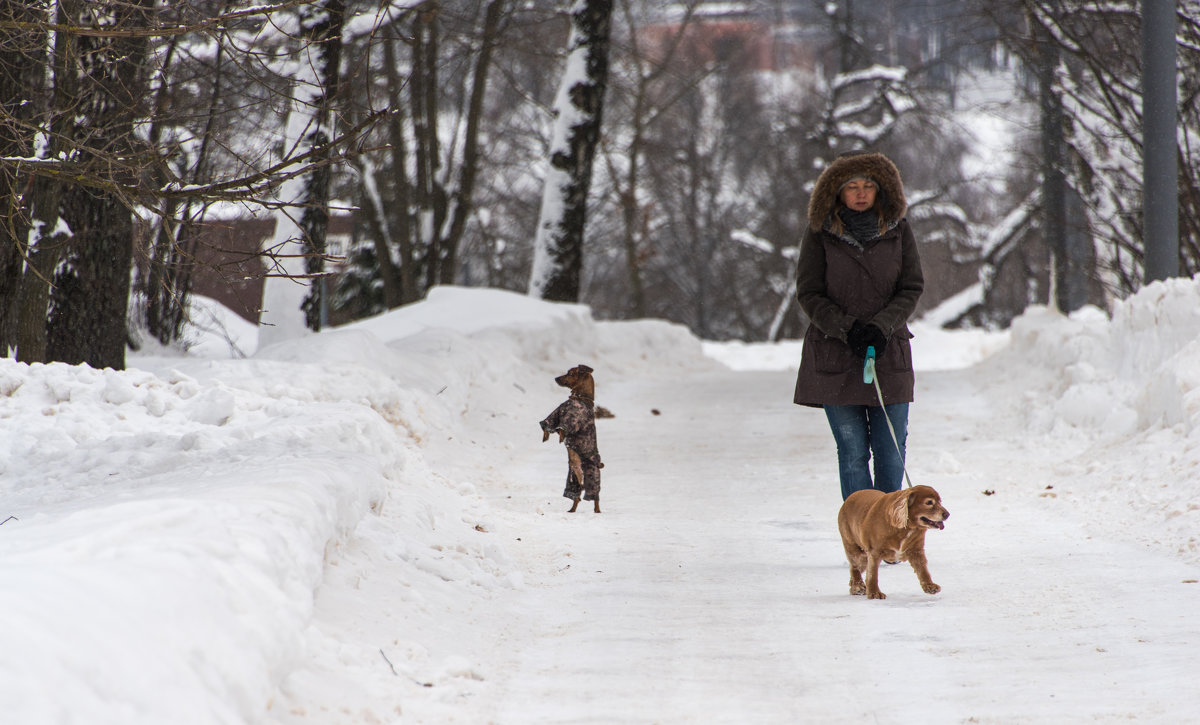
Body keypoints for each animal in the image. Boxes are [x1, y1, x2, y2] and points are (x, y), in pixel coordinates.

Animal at [542, 364, 604, 513]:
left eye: (570, 373)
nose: (556, 378)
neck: (580, 398)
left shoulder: (571, 421)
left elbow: (562, 429)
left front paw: (560, 436)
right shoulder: (557, 413)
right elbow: (549, 425)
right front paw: (547, 435)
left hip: (592, 477)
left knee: (595, 497)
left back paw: (597, 511)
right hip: (573, 481)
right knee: (577, 496)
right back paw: (572, 510)